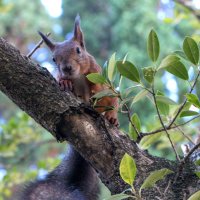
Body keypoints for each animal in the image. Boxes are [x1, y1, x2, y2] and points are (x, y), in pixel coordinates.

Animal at [18, 15, 118, 200]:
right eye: (53, 59)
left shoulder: (100, 77)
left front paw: (98, 95)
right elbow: (60, 80)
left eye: (78, 50)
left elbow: (108, 95)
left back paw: (111, 118)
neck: (78, 76)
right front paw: (64, 81)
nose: (66, 68)